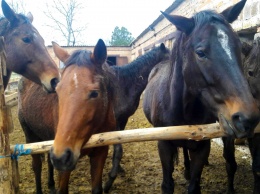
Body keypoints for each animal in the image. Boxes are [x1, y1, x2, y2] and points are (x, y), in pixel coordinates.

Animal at [18, 38, 116, 193]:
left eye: (95, 93)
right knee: (37, 166)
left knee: (48, 160)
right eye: (57, 91)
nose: (61, 157)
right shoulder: (64, 167)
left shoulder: (100, 153)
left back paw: (51, 184)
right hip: (30, 136)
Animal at [102, 42, 170, 191]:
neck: (123, 84)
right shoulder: (115, 121)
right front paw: (109, 182)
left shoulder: (123, 120)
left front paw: (118, 169)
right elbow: (118, 149)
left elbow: (117, 148)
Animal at [142, 0, 260, 193]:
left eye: (238, 47)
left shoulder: (202, 146)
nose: (247, 118)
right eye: (200, 53)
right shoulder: (164, 146)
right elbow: (167, 185)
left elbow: (194, 185)